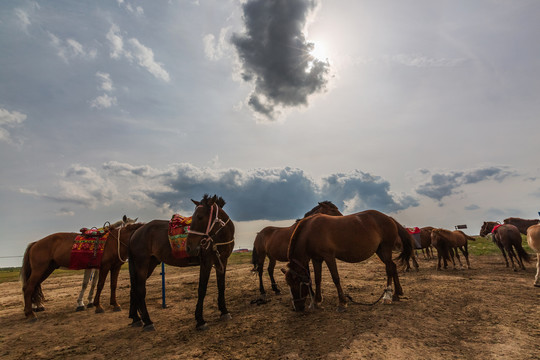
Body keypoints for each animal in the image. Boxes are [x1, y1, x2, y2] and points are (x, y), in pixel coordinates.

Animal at [130, 195, 235, 330]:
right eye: (194, 217)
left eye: (200, 217)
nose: (189, 247)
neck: (218, 237)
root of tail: (137, 231)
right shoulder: (206, 263)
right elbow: (202, 289)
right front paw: (200, 320)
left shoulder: (222, 261)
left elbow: (221, 286)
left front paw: (224, 311)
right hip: (142, 264)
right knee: (140, 290)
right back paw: (148, 321)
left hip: (150, 264)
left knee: (134, 290)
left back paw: (136, 319)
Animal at [280, 211, 412, 312]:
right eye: (288, 284)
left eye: (296, 283)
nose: (297, 308)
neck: (310, 231)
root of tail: (389, 218)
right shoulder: (316, 259)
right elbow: (318, 279)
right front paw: (317, 301)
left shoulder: (329, 257)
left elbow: (335, 278)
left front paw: (342, 303)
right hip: (380, 251)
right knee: (393, 267)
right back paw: (397, 294)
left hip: (385, 248)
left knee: (389, 269)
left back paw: (387, 296)